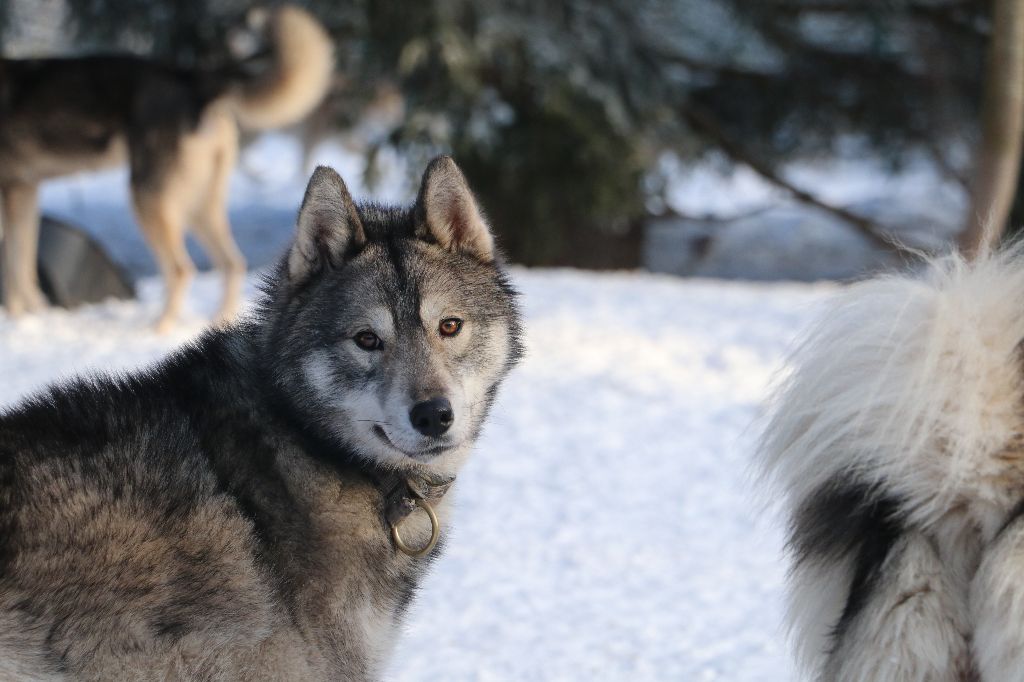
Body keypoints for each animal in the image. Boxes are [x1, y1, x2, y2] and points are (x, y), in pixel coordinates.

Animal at [0, 5, 333, 331]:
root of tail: (194, 81)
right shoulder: (25, 191)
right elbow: (24, 263)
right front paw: (34, 312)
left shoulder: (13, 193)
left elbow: (13, 266)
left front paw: (16, 319)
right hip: (198, 206)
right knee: (231, 262)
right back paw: (219, 322)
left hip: (149, 200)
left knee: (181, 268)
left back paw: (161, 327)